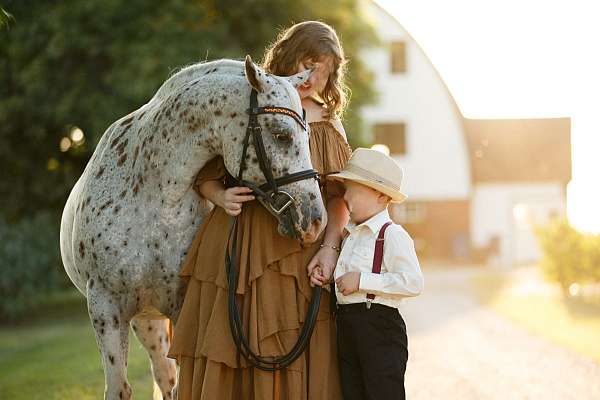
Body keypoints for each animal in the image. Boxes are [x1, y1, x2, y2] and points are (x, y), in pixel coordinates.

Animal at [58, 56, 326, 400]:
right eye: (281, 135)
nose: (315, 220)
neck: (153, 195)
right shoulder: (105, 308)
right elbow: (119, 388)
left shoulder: (184, 308)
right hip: (144, 320)